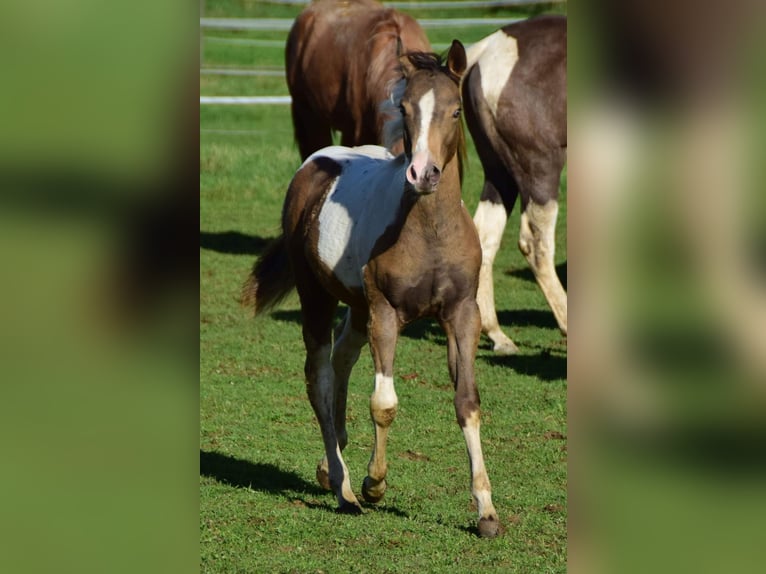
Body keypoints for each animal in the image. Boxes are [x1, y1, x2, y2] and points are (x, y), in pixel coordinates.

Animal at [243, 41, 500, 538]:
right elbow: (384, 403)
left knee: (342, 357)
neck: (428, 230)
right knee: (320, 377)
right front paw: (374, 483)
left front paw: (487, 511)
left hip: (357, 306)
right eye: (405, 109)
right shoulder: (385, 312)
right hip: (319, 296)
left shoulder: (462, 313)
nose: (422, 173)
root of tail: (316, 161)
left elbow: (468, 402)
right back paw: (343, 487)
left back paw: (331, 466)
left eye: (456, 110)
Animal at [462, 15, 567, 354]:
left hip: (499, 175)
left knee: (485, 235)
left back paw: (496, 333)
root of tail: (484, 52)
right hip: (540, 169)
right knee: (536, 244)